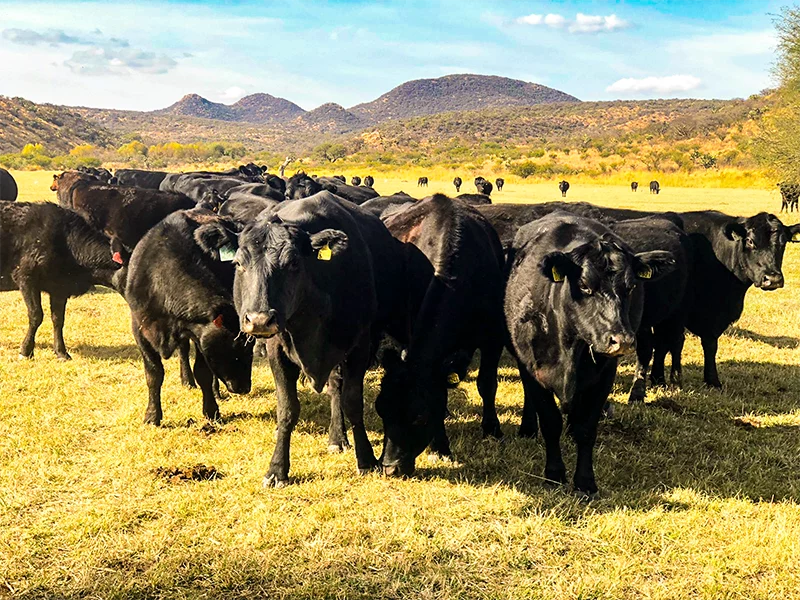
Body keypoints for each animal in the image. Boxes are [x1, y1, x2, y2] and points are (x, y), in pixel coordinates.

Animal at [0, 202, 122, 359]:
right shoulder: (26, 278)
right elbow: (36, 315)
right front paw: (25, 351)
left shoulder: (60, 288)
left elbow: (58, 319)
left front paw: (61, 353)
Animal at [123, 208, 253, 426]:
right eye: (235, 347)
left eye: (251, 346)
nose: (244, 387)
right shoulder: (139, 328)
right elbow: (153, 373)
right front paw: (152, 416)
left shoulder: (199, 334)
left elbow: (203, 372)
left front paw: (211, 411)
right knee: (182, 351)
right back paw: (186, 380)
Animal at [229, 191, 429, 486]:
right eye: (238, 263)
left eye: (293, 263)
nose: (259, 319)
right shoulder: (276, 348)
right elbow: (287, 409)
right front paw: (277, 469)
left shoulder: (359, 345)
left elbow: (352, 402)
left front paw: (366, 459)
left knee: (337, 388)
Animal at [378, 195, 507, 476]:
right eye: (381, 411)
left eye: (419, 416)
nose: (390, 468)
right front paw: (440, 446)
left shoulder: (493, 336)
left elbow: (487, 383)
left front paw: (492, 428)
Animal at [505, 212, 675, 494]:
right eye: (584, 286)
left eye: (630, 287)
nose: (622, 340)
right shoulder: (532, 368)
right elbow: (549, 421)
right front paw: (554, 474)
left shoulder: (603, 376)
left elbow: (586, 428)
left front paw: (585, 482)